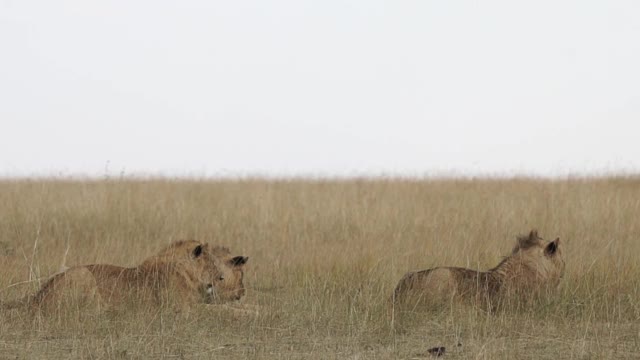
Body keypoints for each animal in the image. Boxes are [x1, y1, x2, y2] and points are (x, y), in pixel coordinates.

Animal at [4, 239, 250, 312]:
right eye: (212, 264)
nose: (242, 293)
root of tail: (37, 296)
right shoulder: (182, 310)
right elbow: (228, 312)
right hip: (83, 274)